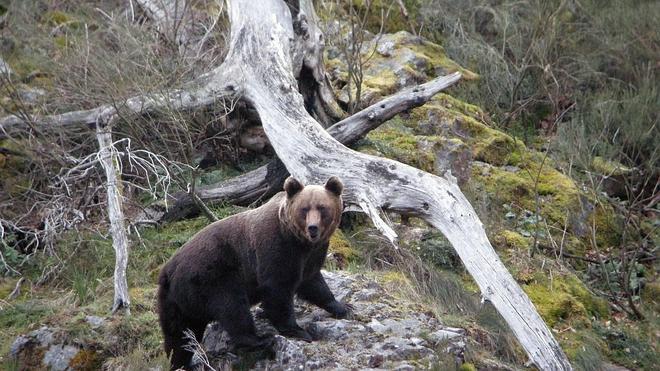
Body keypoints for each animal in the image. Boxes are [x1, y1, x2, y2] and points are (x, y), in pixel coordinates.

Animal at [156, 177, 350, 370]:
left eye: (322, 207)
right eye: (304, 209)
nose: (312, 228)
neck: (299, 241)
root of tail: (168, 270)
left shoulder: (311, 255)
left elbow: (313, 282)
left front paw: (342, 307)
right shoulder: (277, 248)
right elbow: (278, 288)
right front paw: (297, 330)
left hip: (174, 301)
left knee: (179, 335)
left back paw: (182, 363)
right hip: (211, 276)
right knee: (232, 307)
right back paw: (260, 339)